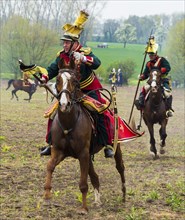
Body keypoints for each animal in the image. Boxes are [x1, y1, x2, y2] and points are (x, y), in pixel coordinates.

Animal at [44, 60, 125, 215]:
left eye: (75, 81)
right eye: (57, 80)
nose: (64, 104)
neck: (69, 123)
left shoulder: (82, 154)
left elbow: (83, 183)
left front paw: (83, 208)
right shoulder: (59, 151)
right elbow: (50, 166)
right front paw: (47, 195)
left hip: (114, 148)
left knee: (120, 168)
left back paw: (124, 194)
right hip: (88, 155)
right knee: (94, 176)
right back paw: (98, 200)